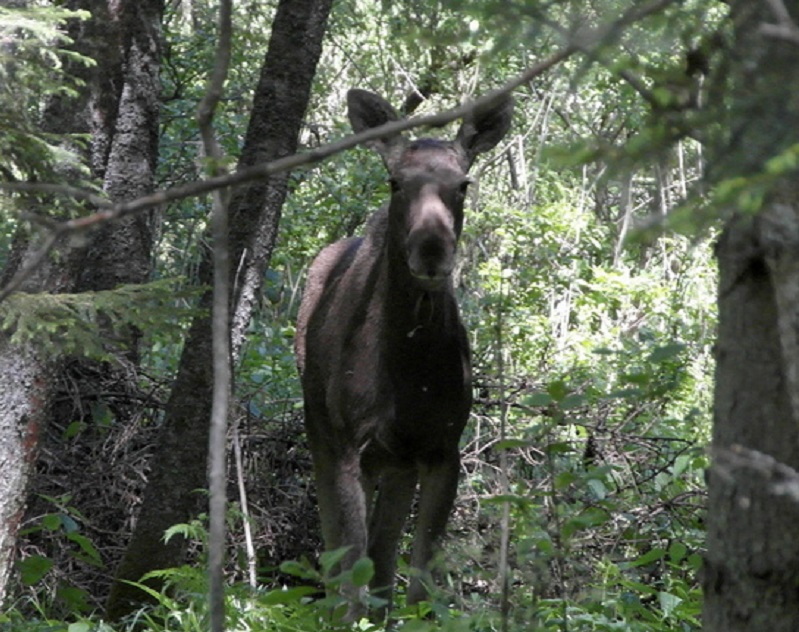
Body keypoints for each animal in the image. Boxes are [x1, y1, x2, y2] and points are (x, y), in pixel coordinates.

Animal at [296, 86, 512, 620]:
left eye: (464, 183)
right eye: (394, 181)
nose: (431, 249)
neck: (410, 373)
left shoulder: (441, 448)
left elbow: (420, 582)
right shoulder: (350, 444)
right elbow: (350, 568)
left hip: (396, 462)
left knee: (384, 552)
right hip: (321, 428)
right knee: (338, 551)